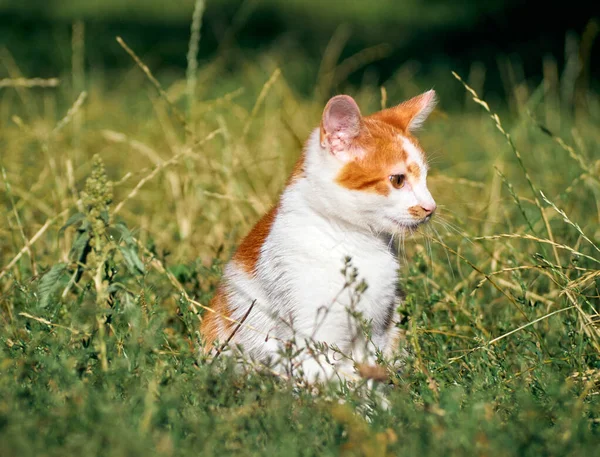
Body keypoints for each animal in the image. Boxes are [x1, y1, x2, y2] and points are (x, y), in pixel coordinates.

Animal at [202, 89, 436, 382]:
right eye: (398, 180)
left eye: (425, 179)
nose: (431, 207)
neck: (355, 242)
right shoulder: (309, 333)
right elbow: (325, 382)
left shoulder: (376, 330)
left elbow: (368, 373)